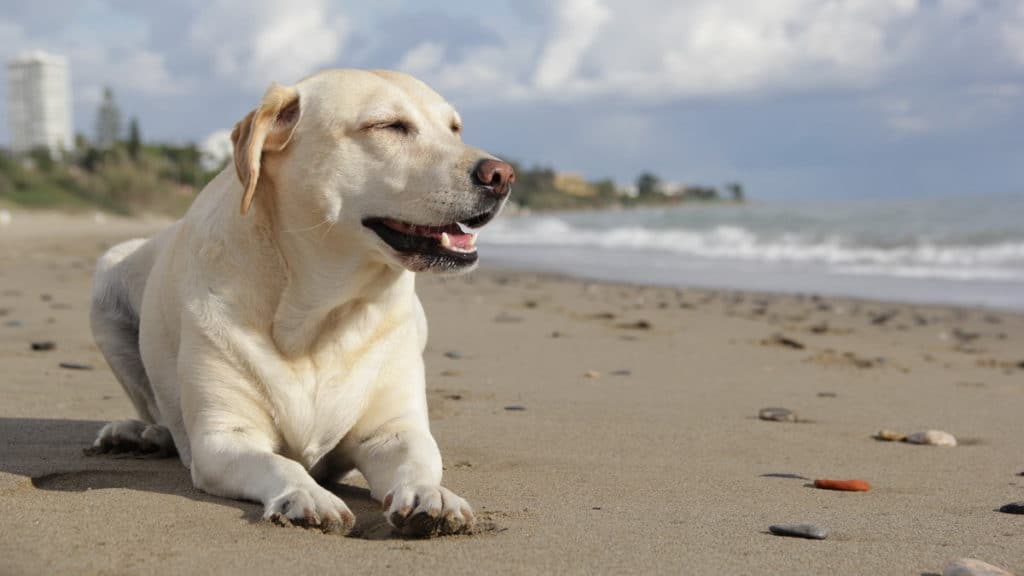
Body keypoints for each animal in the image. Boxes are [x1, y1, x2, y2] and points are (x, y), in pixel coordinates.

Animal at [90, 69, 512, 537]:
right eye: (388, 126)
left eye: (455, 129)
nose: (502, 175)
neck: (320, 316)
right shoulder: (224, 437)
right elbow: (280, 464)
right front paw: (307, 494)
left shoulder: (394, 430)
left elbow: (420, 461)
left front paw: (431, 495)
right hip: (107, 276)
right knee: (156, 409)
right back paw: (140, 434)